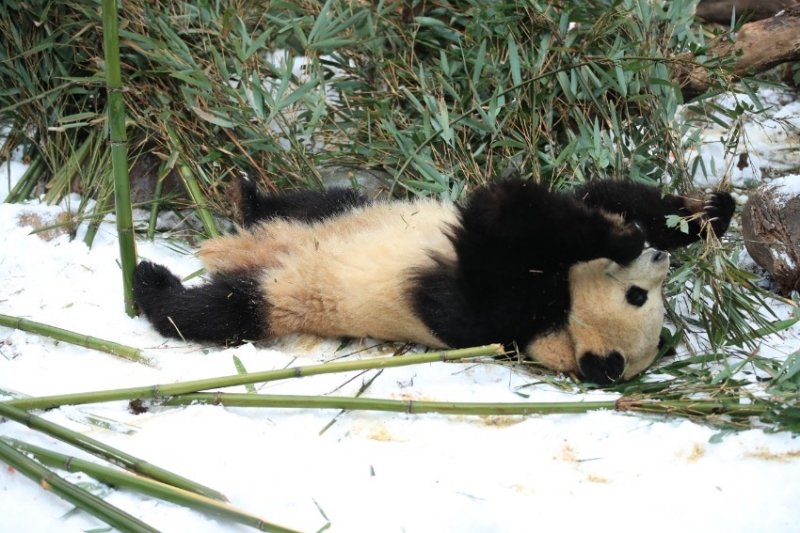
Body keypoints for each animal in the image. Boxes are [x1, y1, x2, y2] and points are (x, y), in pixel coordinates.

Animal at [134, 178, 736, 382]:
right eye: (640, 295)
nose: (656, 261)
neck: (557, 327)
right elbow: (597, 194)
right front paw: (703, 212)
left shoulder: (496, 315)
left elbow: (498, 233)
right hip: (346, 213)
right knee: (308, 203)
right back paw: (246, 199)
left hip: (290, 291)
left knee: (218, 311)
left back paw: (152, 280)